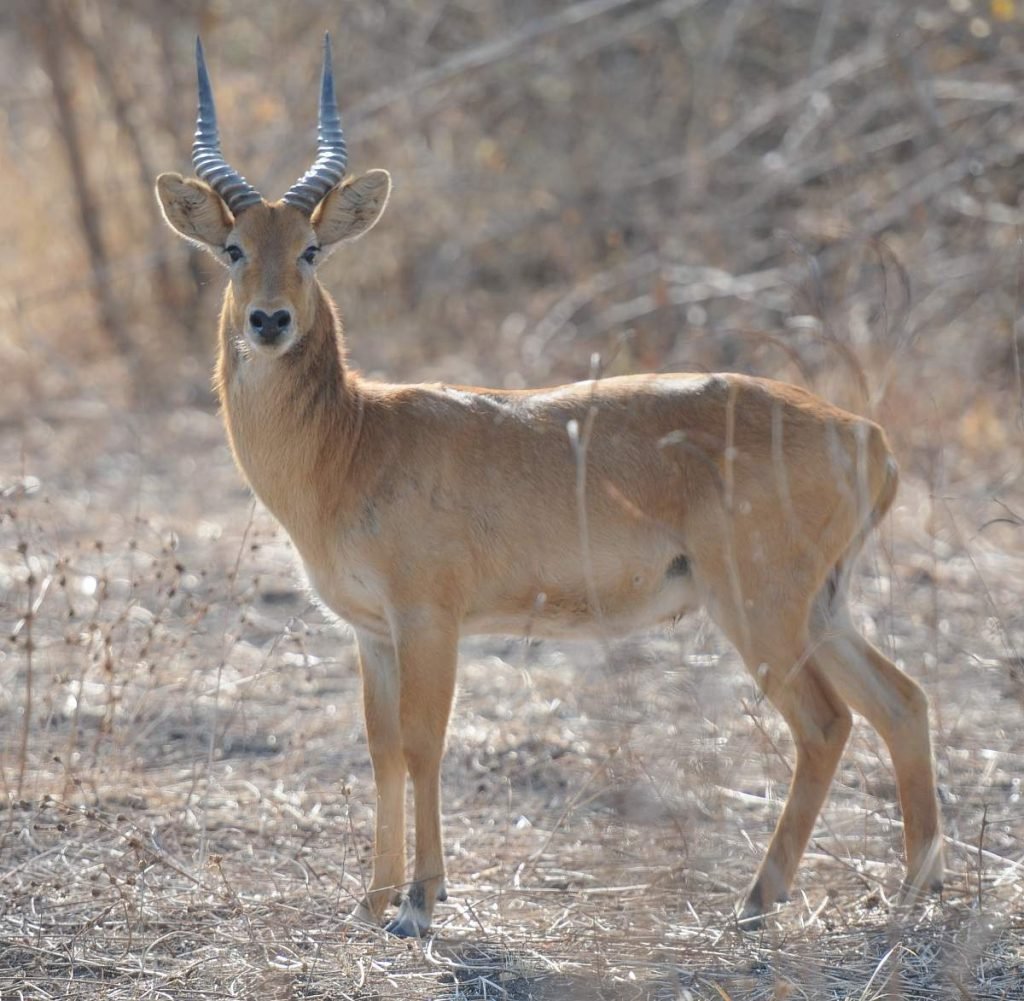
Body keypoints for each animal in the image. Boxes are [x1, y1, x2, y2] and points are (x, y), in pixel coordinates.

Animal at [155, 33, 946, 937]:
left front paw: (420, 904)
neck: (355, 438)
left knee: (826, 722)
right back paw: (913, 890)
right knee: (903, 700)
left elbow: (425, 741)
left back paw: (756, 899)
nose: (269, 321)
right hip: (821, 604)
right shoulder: (371, 631)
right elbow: (382, 747)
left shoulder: (429, 618)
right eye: (234, 249)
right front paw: (373, 896)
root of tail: (865, 433)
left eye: (311, 250)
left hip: (760, 605)